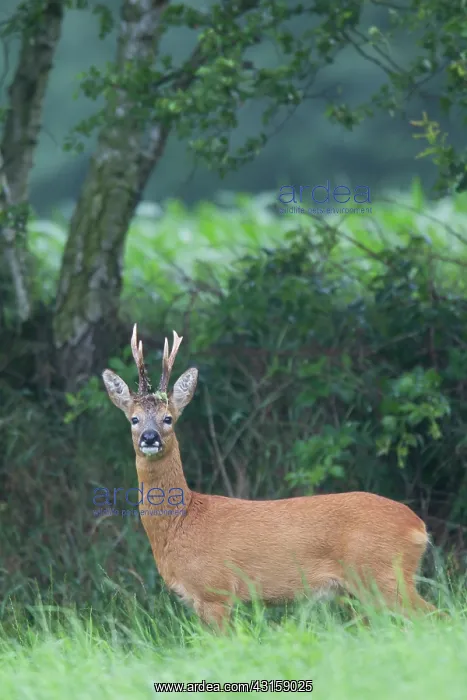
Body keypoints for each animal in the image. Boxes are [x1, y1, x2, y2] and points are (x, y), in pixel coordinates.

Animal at [102, 324, 436, 629]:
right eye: (134, 419)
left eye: (168, 418)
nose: (150, 437)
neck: (181, 521)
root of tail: (418, 527)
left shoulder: (215, 592)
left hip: (382, 575)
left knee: (435, 617)